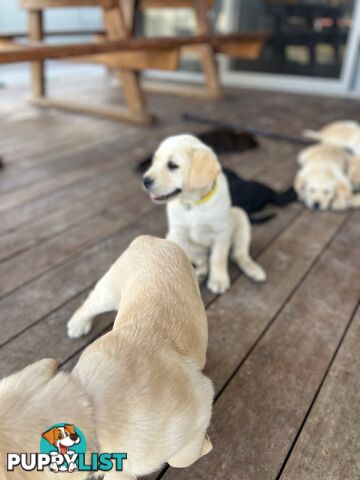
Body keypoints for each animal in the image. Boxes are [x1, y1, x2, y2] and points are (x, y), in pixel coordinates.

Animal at [0, 236, 214, 480]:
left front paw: (203, 445)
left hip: (108, 291)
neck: (88, 404)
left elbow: (180, 458)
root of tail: (151, 239)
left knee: (88, 304)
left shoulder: (203, 396)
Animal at [142, 133, 266, 294]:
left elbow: (218, 258)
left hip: (240, 215)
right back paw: (199, 274)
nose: (144, 180)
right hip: (173, 238)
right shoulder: (178, 233)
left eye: (172, 165)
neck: (193, 203)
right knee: (201, 260)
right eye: (155, 160)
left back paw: (253, 269)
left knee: (238, 254)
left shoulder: (221, 233)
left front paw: (218, 280)